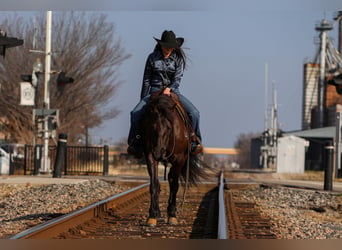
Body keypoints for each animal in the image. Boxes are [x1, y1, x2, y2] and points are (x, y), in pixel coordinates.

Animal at [140, 92, 207, 227]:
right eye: (151, 127)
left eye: (169, 128)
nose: (158, 153)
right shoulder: (150, 155)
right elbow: (154, 184)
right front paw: (152, 216)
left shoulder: (180, 158)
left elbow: (175, 185)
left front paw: (172, 216)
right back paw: (158, 213)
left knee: (171, 179)